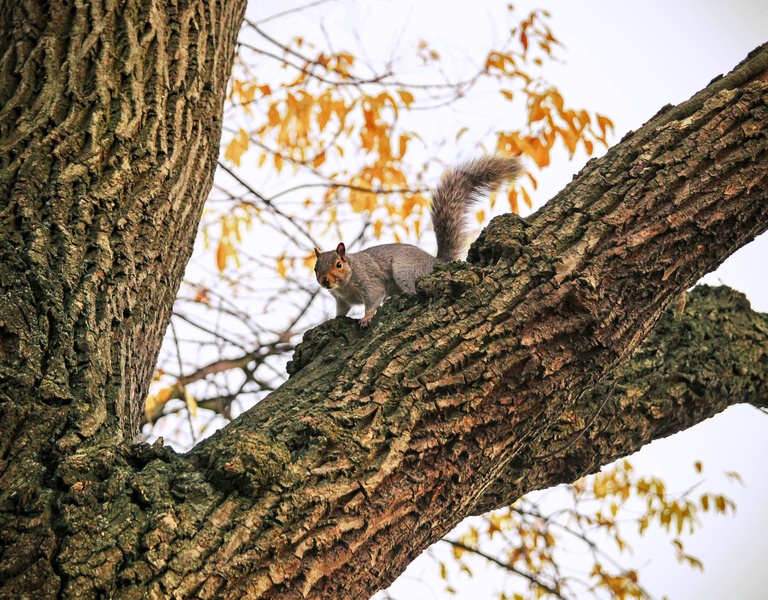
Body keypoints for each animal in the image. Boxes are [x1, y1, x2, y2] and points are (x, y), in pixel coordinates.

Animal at [313, 155, 523, 328]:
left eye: (338, 264)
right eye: (316, 268)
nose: (324, 281)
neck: (344, 285)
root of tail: (435, 262)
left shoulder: (369, 280)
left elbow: (373, 298)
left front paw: (366, 317)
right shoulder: (341, 300)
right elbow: (341, 311)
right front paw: (334, 319)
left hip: (405, 270)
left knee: (412, 291)